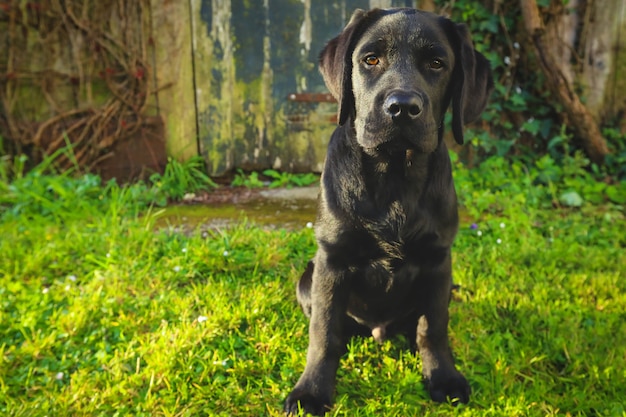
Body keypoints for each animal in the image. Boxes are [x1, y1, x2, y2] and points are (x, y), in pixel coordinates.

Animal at [282, 8, 492, 414]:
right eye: (371, 59)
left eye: (437, 63)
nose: (402, 108)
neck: (394, 176)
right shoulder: (332, 261)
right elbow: (324, 333)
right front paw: (312, 391)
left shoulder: (438, 261)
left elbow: (433, 328)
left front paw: (443, 377)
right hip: (307, 278)